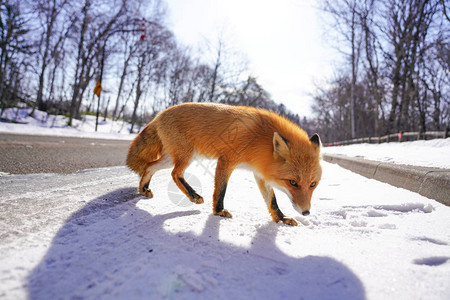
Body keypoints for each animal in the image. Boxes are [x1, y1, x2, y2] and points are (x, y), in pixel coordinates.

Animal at [128, 102, 322, 225]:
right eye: (293, 182)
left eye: (313, 184)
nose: (306, 212)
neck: (260, 140)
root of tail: (159, 114)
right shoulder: (226, 159)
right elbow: (221, 190)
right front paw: (219, 211)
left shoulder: (260, 173)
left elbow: (272, 201)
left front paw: (281, 219)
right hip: (187, 156)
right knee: (175, 174)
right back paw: (193, 195)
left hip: (172, 158)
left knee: (150, 166)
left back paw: (144, 189)